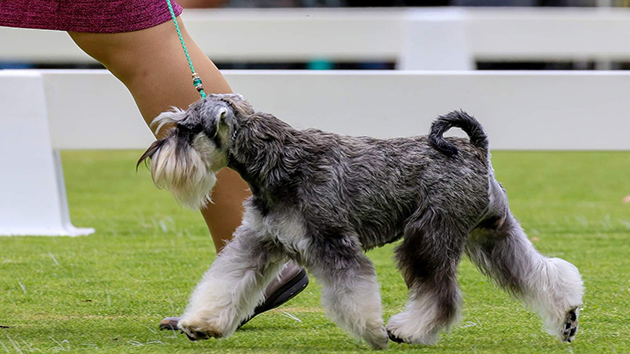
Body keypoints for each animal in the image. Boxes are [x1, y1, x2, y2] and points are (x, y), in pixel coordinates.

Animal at [141, 93, 584, 348]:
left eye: (185, 130)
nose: (151, 157)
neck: (279, 159)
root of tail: (475, 149)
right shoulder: (259, 242)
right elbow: (225, 282)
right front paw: (200, 324)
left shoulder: (334, 243)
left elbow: (353, 293)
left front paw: (371, 333)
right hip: (491, 235)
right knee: (539, 271)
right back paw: (566, 317)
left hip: (428, 238)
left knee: (440, 296)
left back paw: (406, 331)